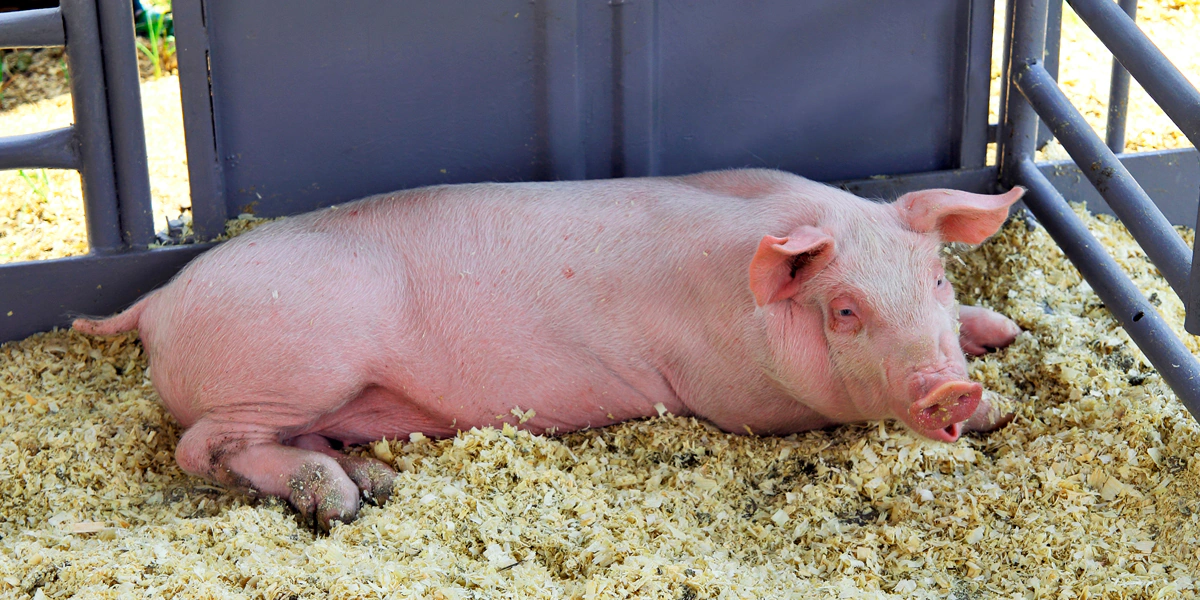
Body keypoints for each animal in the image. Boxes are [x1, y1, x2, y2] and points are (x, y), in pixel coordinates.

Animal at [74, 169, 1024, 529]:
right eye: (846, 310)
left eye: (939, 278)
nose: (950, 390)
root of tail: (156, 301)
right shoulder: (737, 399)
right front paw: (999, 405)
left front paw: (1003, 337)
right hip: (293, 368)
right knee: (202, 446)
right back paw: (337, 500)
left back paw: (372, 483)